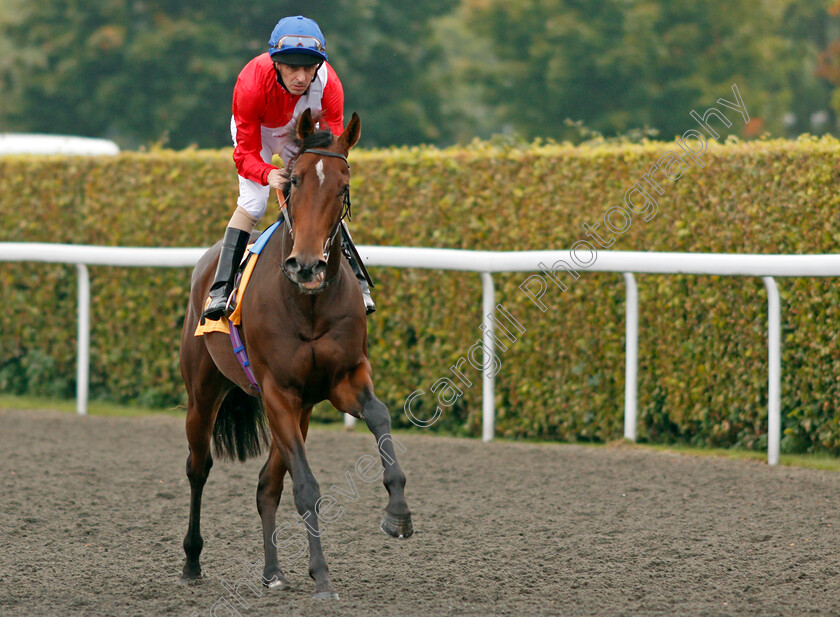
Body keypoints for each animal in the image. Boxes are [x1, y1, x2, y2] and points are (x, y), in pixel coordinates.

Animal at [178, 108, 414, 600]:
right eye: (296, 181)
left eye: (343, 186)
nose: (306, 265)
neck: (308, 304)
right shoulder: (278, 391)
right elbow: (306, 486)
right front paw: (322, 575)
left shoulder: (344, 378)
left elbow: (380, 415)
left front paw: (398, 512)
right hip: (205, 392)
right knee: (198, 466)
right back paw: (191, 560)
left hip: (300, 409)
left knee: (266, 484)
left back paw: (273, 572)